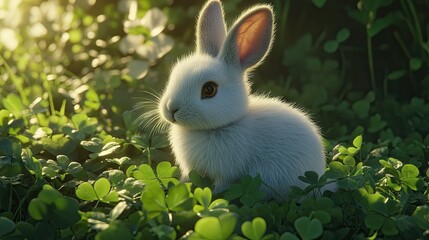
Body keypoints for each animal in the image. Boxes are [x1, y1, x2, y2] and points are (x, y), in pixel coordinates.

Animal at [157, 0, 334, 199]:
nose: (171, 109)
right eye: (173, 75)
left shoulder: (225, 173)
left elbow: (220, 187)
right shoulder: (190, 169)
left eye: (209, 90)